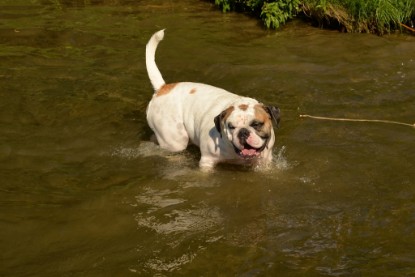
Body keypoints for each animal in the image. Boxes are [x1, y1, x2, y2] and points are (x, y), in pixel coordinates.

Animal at [145, 29, 280, 168]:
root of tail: (162, 88)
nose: (243, 132)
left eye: (257, 124)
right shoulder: (207, 160)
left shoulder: (265, 161)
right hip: (176, 141)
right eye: (231, 126)